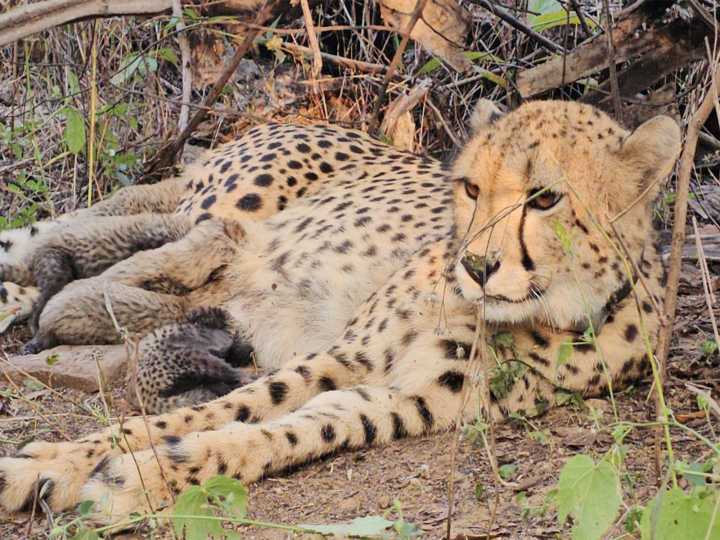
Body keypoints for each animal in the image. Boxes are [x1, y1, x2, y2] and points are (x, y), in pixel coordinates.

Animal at [0, 100, 680, 524]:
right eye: (471, 188)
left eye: (545, 199)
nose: (476, 265)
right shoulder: (345, 354)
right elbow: (216, 410)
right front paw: (54, 462)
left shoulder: (401, 400)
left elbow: (286, 430)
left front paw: (140, 478)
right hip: (221, 206)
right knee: (67, 233)